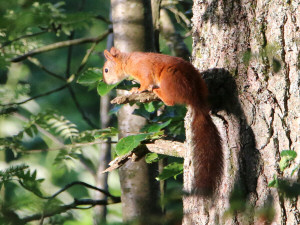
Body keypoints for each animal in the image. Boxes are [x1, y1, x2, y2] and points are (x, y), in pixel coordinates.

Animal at [103, 47, 223, 193]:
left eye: (106, 70)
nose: (106, 83)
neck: (128, 61)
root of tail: (195, 99)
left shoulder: (143, 70)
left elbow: (145, 82)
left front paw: (137, 89)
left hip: (169, 78)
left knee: (170, 101)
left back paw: (157, 91)